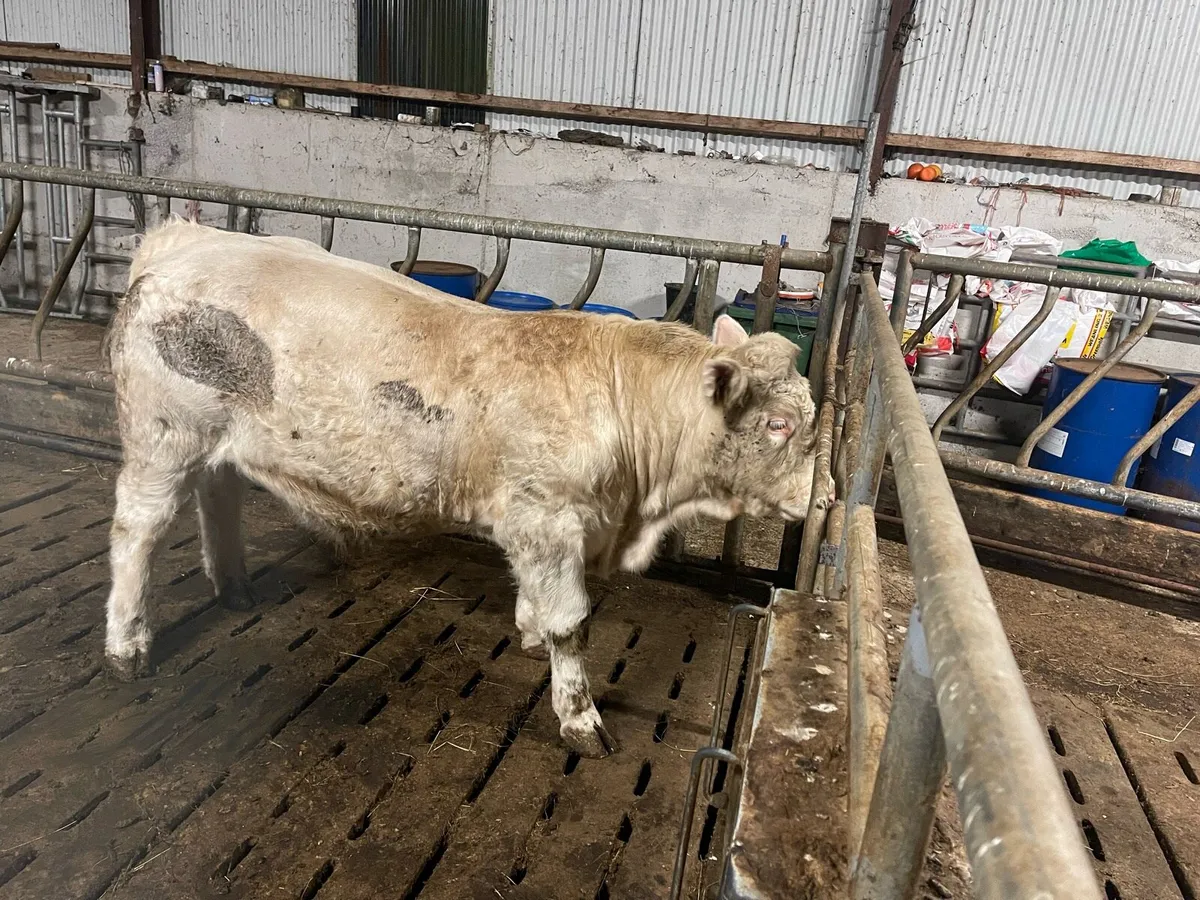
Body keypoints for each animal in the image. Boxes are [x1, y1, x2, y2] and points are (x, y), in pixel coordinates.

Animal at [103, 219, 824, 758]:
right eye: (779, 424)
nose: (825, 495)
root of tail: (185, 238)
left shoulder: (537, 524)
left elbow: (538, 601)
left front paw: (529, 631)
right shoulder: (547, 516)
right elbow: (572, 624)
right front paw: (580, 719)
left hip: (214, 442)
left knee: (217, 497)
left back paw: (233, 587)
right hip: (162, 438)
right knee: (136, 533)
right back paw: (128, 645)